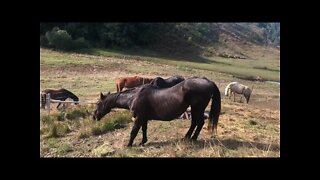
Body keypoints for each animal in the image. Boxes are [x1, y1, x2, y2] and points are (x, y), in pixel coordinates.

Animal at [92, 77, 220, 146]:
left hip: (197, 108)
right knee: (194, 123)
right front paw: (143, 142)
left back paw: (192, 139)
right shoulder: (143, 118)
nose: (94, 117)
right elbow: (144, 130)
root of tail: (209, 82)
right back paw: (187, 137)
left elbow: (134, 132)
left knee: (199, 123)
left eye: (98, 103)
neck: (133, 97)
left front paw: (129, 145)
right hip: (194, 109)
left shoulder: (138, 118)